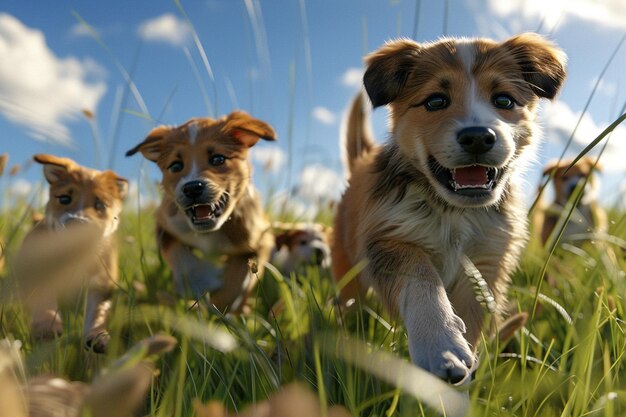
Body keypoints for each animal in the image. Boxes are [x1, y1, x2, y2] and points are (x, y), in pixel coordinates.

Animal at [15, 154, 127, 352]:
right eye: (65, 198)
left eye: (100, 204)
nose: (77, 223)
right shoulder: (37, 276)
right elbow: (44, 301)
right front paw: (47, 327)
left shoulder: (102, 282)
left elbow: (97, 311)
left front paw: (98, 336)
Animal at [125, 110, 274, 312]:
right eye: (176, 166)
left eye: (218, 159)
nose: (192, 188)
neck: (209, 232)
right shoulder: (165, 224)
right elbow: (180, 256)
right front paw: (201, 279)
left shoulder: (259, 240)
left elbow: (238, 280)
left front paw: (218, 307)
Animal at [332, 33, 564, 384]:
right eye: (436, 102)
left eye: (504, 100)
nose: (478, 137)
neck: (455, 212)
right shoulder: (388, 239)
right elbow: (421, 280)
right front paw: (441, 345)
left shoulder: (485, 264)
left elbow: (472, 318)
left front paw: (458, 379)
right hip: (347, 274)